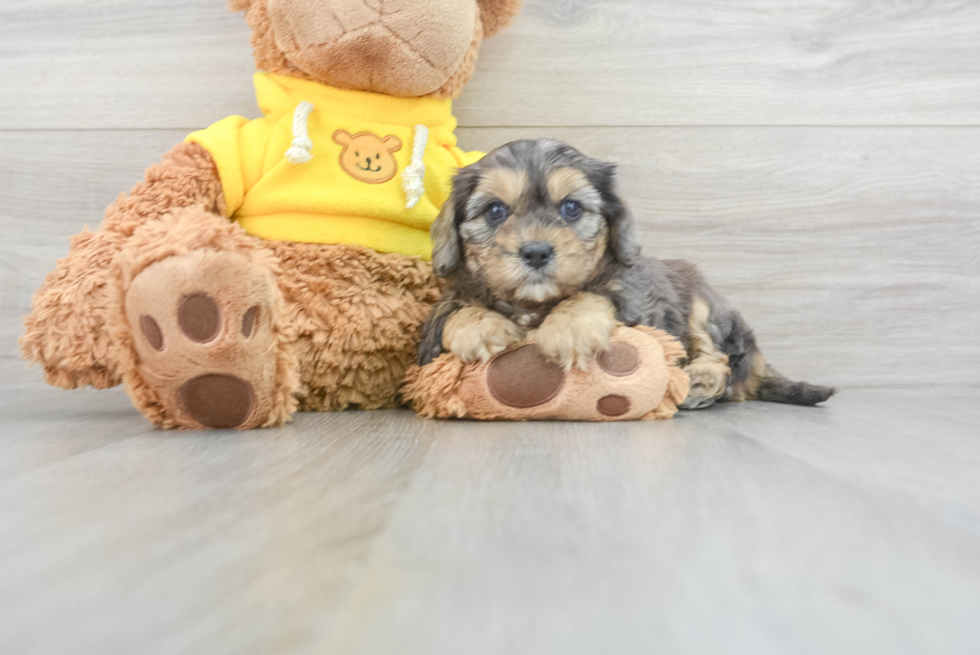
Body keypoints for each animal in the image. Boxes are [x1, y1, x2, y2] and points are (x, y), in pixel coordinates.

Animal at [422, 140, 836, 410]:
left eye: (572, 208)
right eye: (495, 211)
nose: (536, 252)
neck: (534, 304)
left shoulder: (634, 300)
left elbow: (594, 294)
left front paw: (569, 328)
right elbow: (454, 309)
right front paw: (480, 326)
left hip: (704, 306)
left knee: (722, 362)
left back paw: (698, 382)